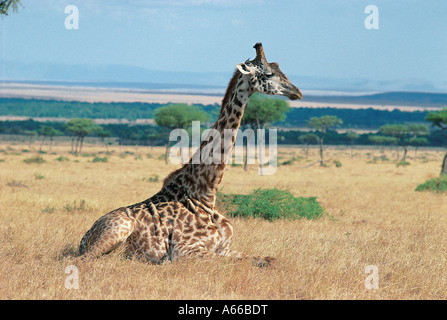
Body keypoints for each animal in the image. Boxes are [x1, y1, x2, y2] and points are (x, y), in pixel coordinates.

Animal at [79, 43, 304, 268]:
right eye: (268, 73)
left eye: (279, 68)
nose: (298, 92)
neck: (206, 193)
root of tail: (85, 236)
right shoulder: (186, 251)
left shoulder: (225, 248)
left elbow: (269, 259)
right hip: (119, 229)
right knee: (85, 259)